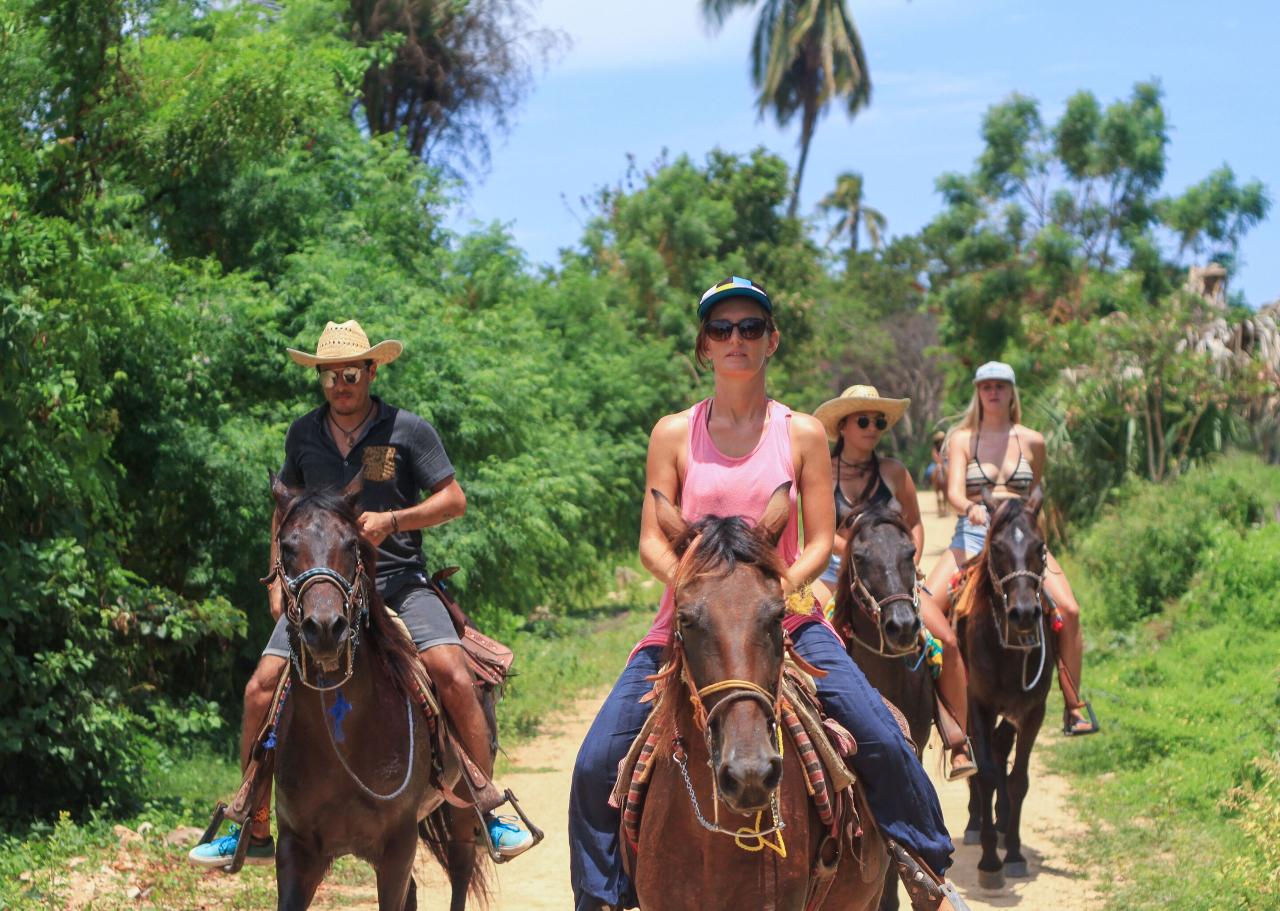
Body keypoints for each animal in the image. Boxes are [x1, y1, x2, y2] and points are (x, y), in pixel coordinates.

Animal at [270, 475, 488, 911]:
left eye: (352, 543)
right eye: (287, 546)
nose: (325, 628)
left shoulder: (398, 845)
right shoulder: (296, 847)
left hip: (461, 813)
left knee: (461, 870)